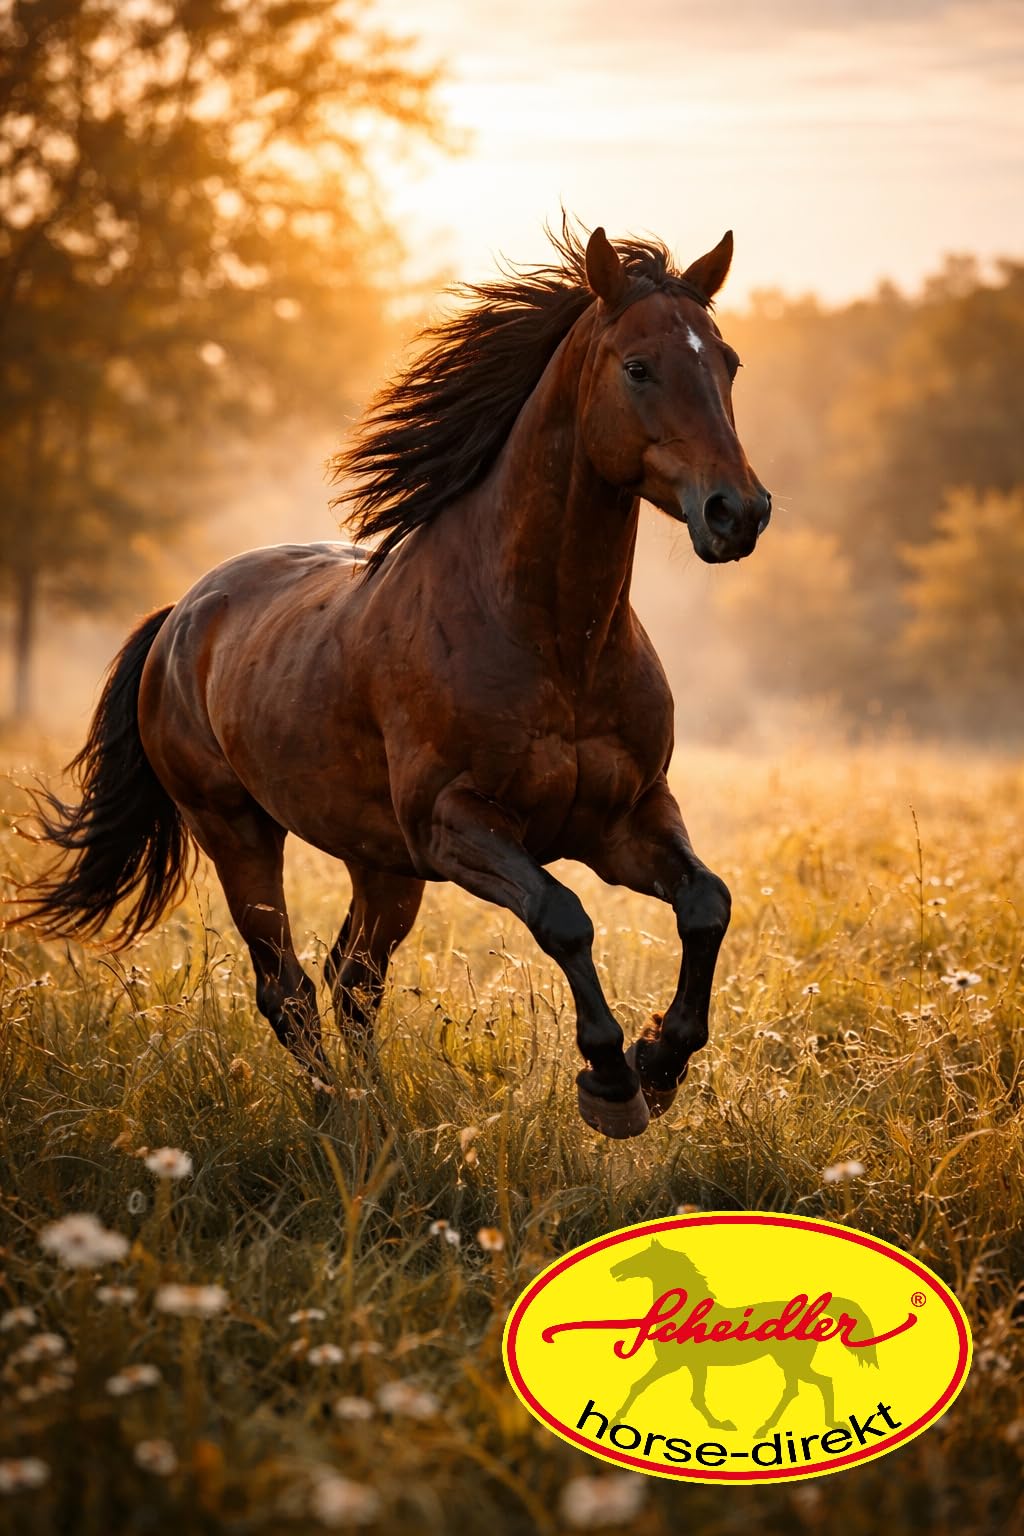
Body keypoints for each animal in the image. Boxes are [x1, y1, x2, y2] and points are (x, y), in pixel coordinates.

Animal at [13, 220, 771, 1140]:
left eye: (727, 362)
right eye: (638, 366)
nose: (738, 512)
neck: (555, 641)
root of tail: (180, 617)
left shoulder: (625, 819)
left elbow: (706, 903)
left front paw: (661, 1062)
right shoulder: (457, 826)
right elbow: (563, 917)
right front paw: (610, 1081)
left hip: (381, 861)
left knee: (352, 981)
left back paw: (379, 1116)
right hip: (238, 830)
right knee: (289, 988)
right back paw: (339, 1115)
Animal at [608, 1239, 879, 1437]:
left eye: (642, 1257)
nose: (613, 1269)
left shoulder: (674, 1363)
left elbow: (651, 1388)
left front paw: (614, 1421)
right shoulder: (691, 1365)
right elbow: (688, 1396)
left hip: (793, 1362)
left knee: (821, 1382)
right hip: (790, 1363)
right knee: (797, 1389)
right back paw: (767, 1428)